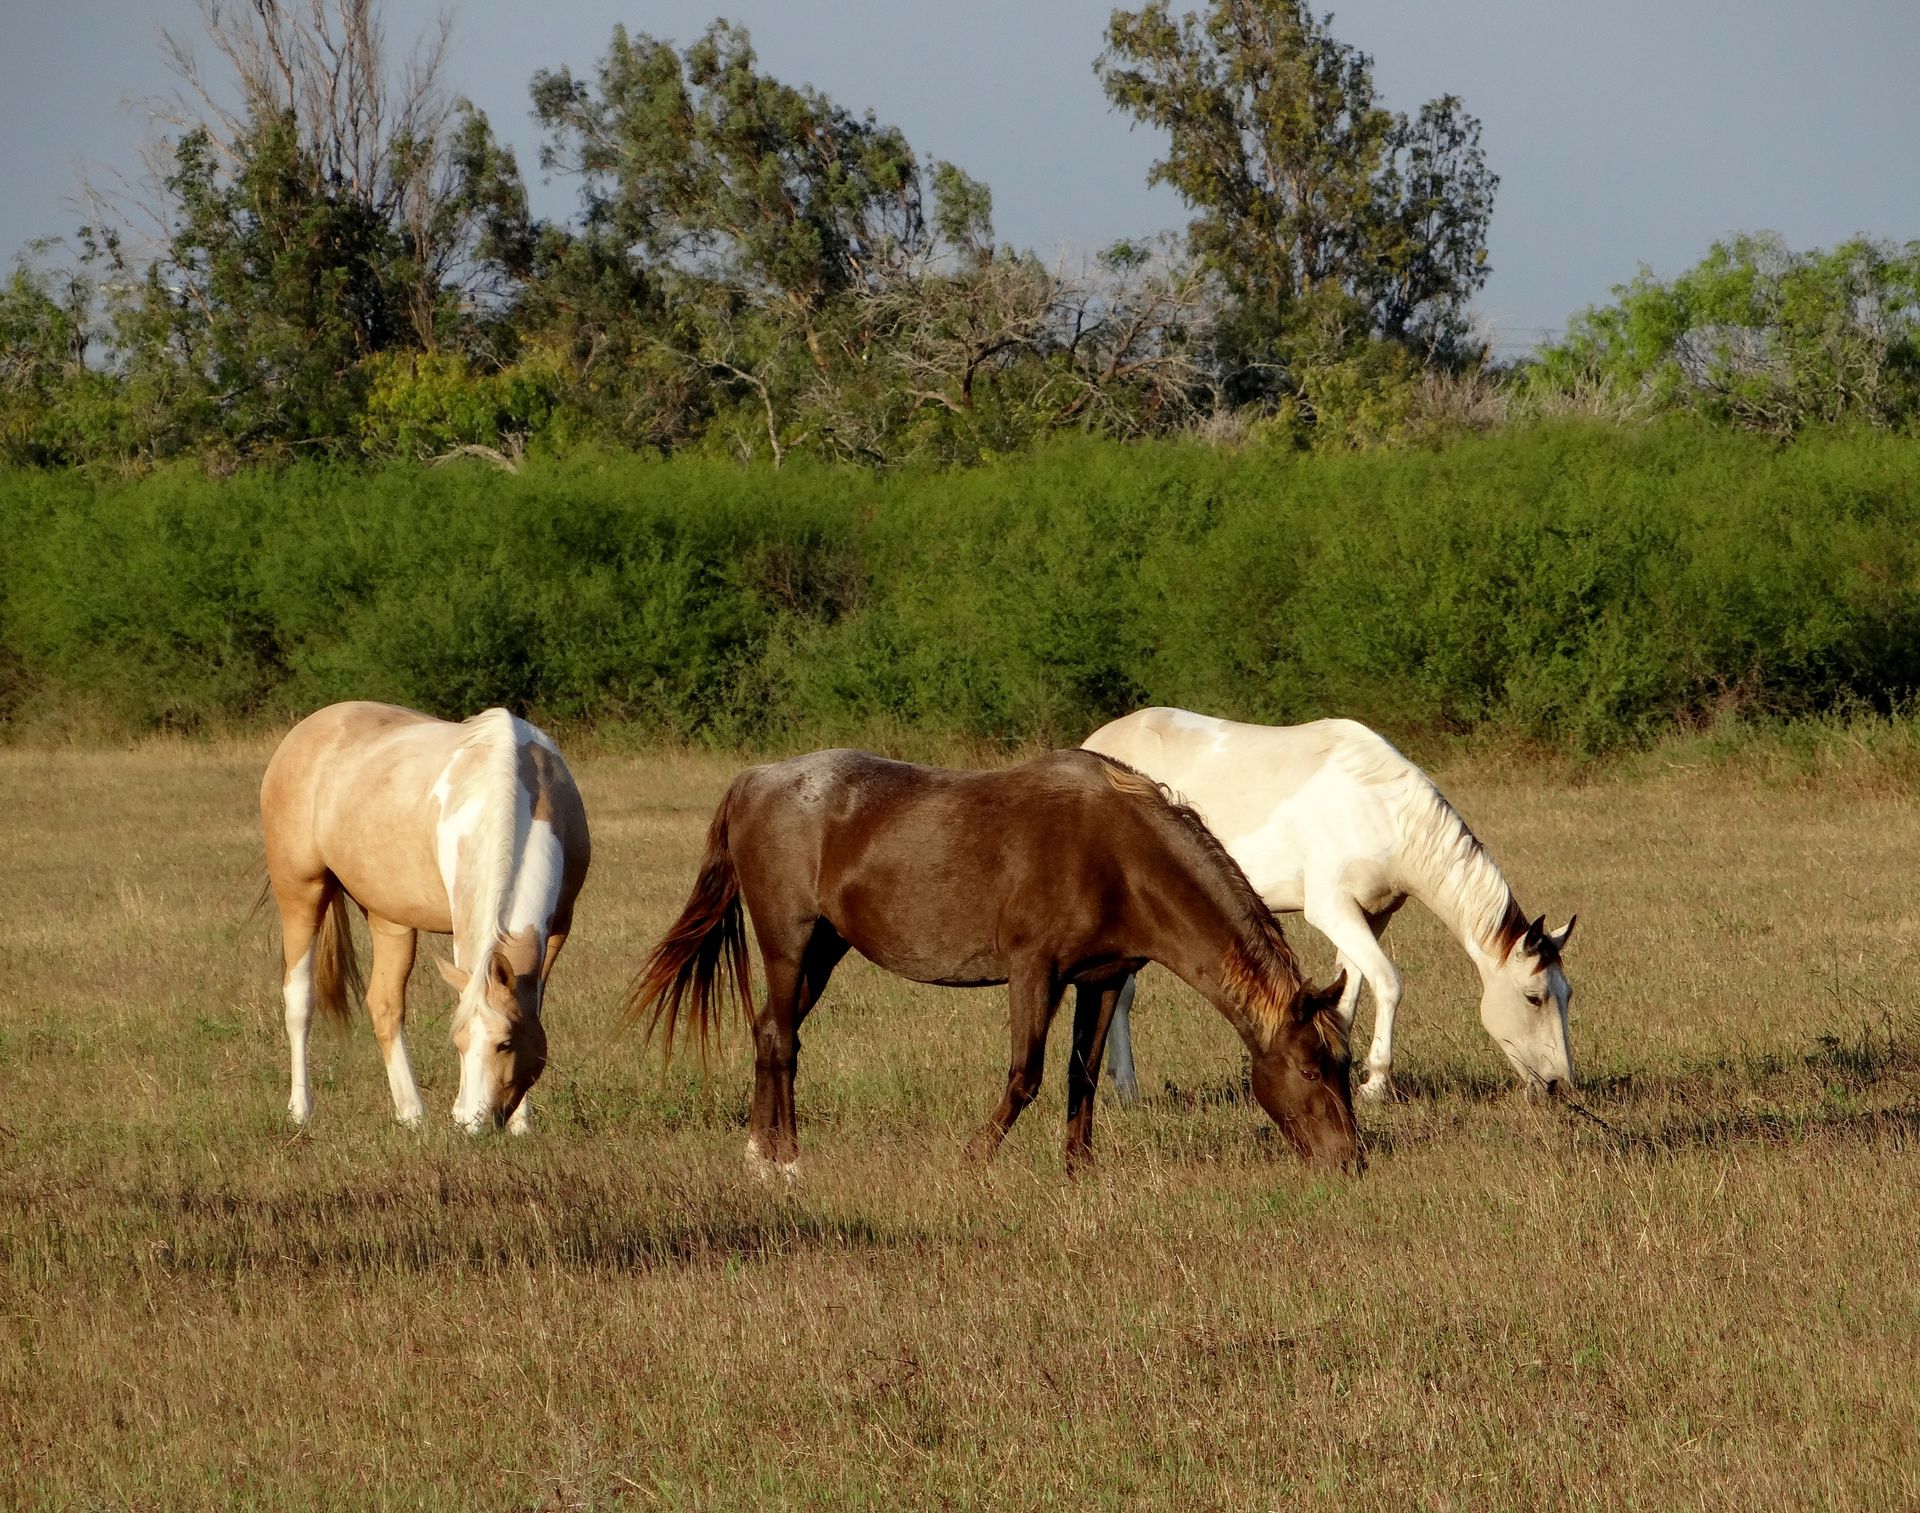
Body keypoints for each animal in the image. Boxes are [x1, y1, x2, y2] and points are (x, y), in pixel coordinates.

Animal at [259, 701, 590, 1133]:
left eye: (505, 1043)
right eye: (458, 1041)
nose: (471, 1122)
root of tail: (306, 730)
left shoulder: (558, 927)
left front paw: (521, 1124)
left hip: (388, 918)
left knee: (384, 1005)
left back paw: (411, 1113)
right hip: (300, 894)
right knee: (299, 1000)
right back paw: (301, 1110)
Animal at [626, 748, 1360, 1175]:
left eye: (1345, 1066)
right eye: (1308, 1068)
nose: (1349, 1160)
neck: (1121, 855)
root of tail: (754, 780)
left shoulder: (1102, 979)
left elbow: (1081, 1075)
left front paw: (1079, 1169)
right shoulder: (1034, 971)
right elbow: (1025, 1074)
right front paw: (974, 1157)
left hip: (825, 950)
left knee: (767, 1033)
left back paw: (757, 1153)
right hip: (789, 942)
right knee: (781, 1040)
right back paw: (784, 1160)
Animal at [1083, 709, 1576, 1104]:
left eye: (1567, 994)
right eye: (1534, 998)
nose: (1559, 1084)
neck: (1381, 809)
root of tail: (1093, 746)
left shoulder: (1371, 916)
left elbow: (1350, 991)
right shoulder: (1331, 910)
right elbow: (1388, 983)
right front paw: (1375, 1083)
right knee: (1121, 996)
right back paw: (1127, 1089)